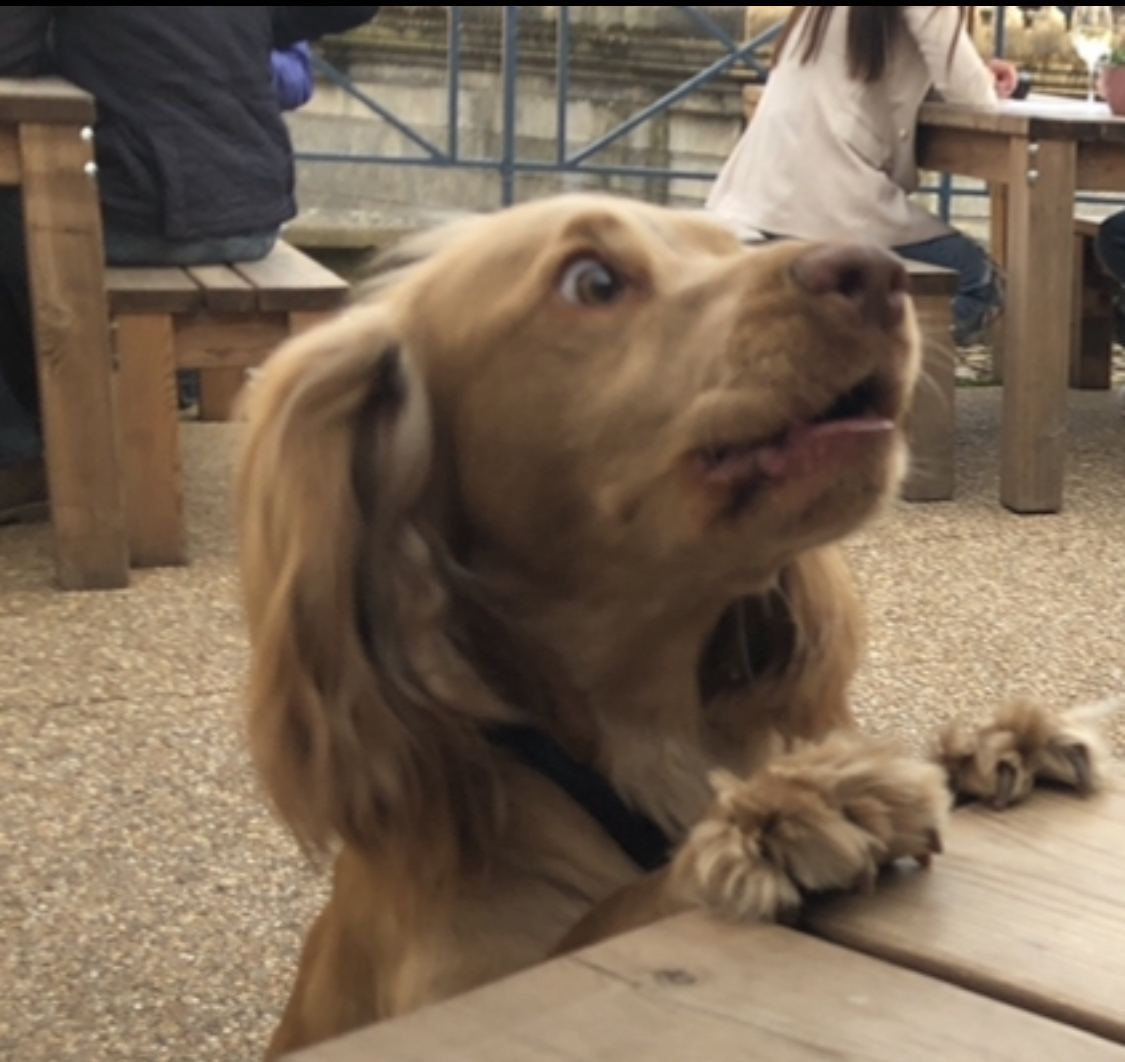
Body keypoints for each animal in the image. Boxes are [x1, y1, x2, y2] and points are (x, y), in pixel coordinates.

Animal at [236, 194, 1108, 1057]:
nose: (875, 271)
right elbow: (603, 921)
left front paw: (991, 742)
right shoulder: (453, 982)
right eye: (591, 281)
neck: (651, 723)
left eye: (730, 247)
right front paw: (788, 812)